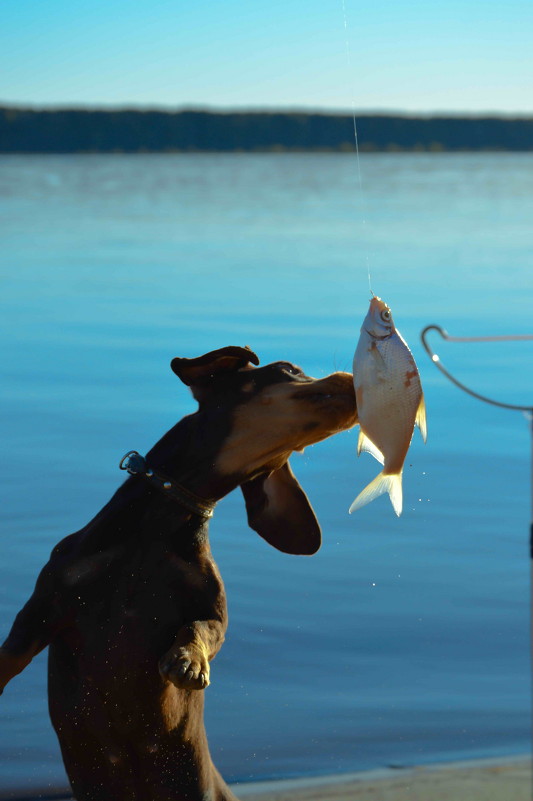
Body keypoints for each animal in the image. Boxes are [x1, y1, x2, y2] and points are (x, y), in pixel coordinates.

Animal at [1, 346, 358, 800]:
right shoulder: (45, 605)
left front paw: (188, 661)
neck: (157, 527)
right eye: (288, 369)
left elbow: (201, 629)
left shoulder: (213, 611)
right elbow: (10, 654)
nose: (353, 377)